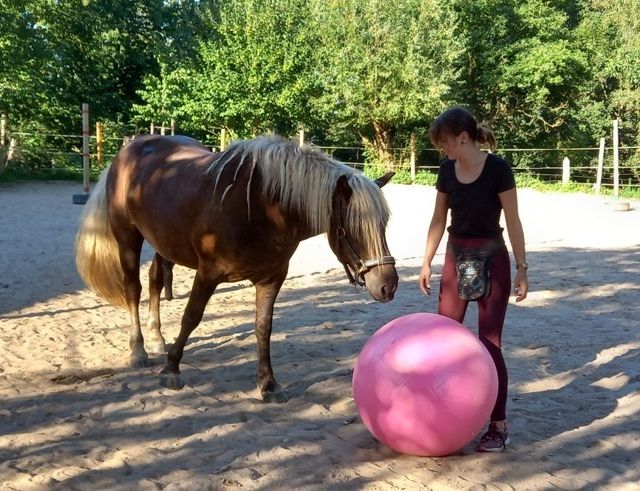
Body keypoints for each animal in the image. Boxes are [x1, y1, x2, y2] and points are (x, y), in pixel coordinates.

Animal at [74, 133, 396, 402]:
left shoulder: (271, 279)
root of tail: (130, 147)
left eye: (384, 223)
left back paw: (156, 339)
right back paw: (138, 350)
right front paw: (171, 370)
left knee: (155, 280)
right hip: (127, 236)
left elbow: (263, 327)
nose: (388, 285)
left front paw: (268, 384)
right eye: (351, 228)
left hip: (163, 242)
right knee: (133, 288)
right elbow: (191, 317)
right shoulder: (207, 273)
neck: (260, 206)